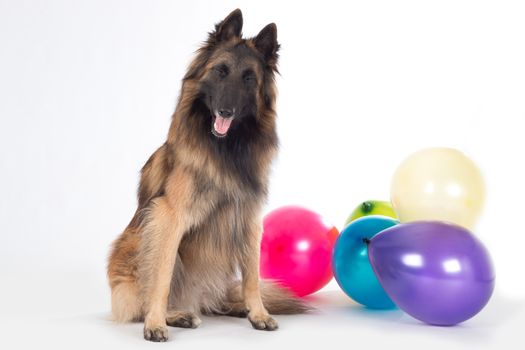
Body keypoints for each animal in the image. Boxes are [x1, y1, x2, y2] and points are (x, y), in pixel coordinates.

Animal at [107, 8, 310, 342]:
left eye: (249, 78)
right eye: (221, 71)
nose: (226, 111)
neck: (226, 150)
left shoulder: (249, 217)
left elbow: (252, 275)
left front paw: (258, 313)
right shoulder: (167, 216)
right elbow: (161, 277)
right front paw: (155, 323)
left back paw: (234, 307)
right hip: (137, 239)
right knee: (147, 297)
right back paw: (177, 314)